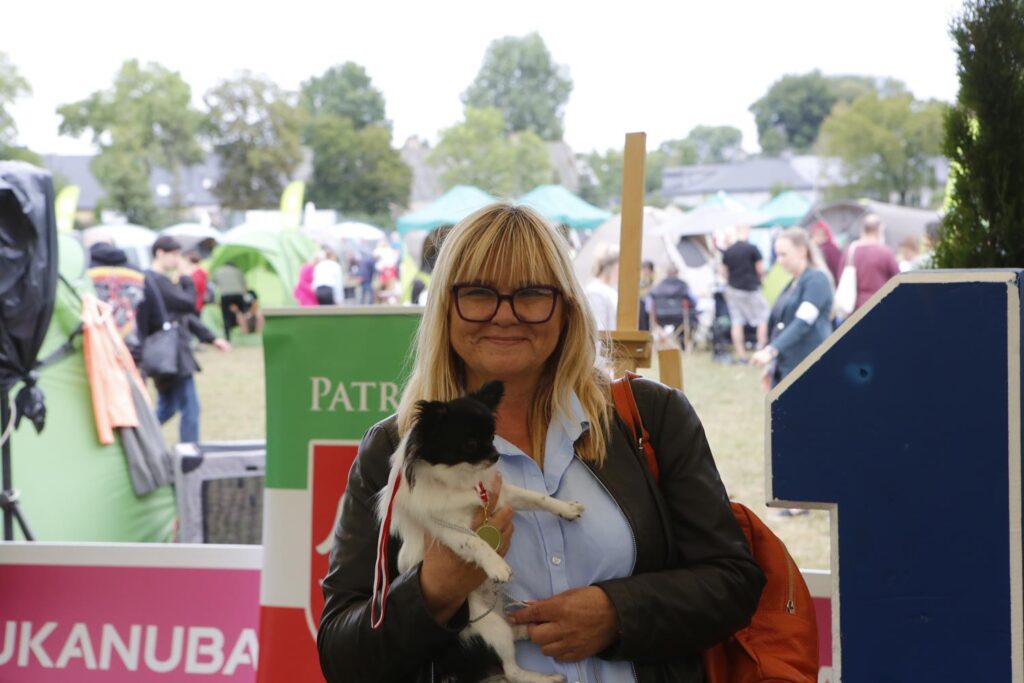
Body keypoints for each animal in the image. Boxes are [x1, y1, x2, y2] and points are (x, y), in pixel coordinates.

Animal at [374, 380, 584, 683]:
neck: (461, 478)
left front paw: (566, 508)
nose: (495, 455)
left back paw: (525, 626)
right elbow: (475, 542)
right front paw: (497, 565)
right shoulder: (450, 530)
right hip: (489, 627)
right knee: (511, 671)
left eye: (493, 436)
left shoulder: (502, 496)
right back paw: (545, 677)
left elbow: (537, 498)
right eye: (471, 443)